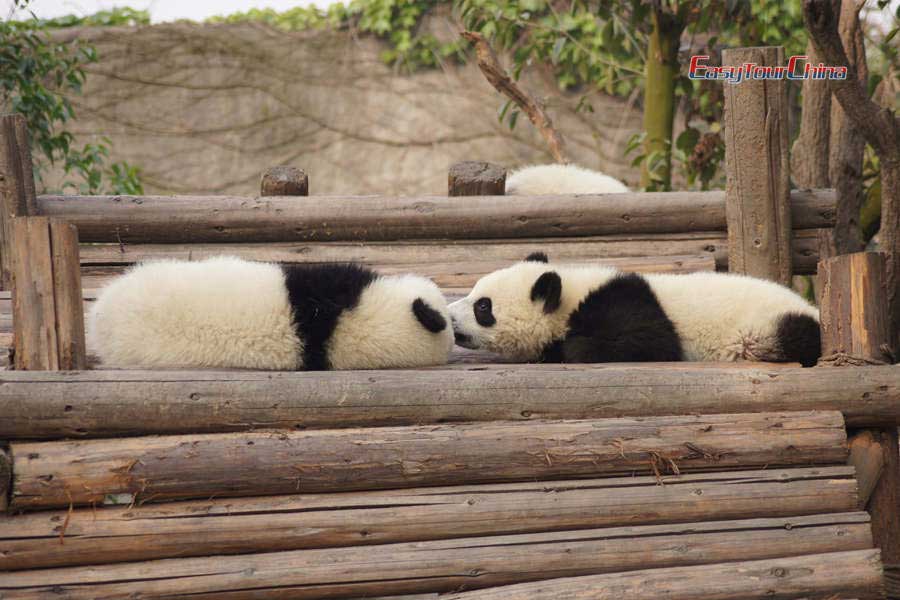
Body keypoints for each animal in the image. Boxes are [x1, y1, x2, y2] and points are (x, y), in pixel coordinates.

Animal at [450, 252, 824, 366]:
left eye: (483, 306)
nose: (450, 317)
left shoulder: (625, 305)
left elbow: (650, 341)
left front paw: (567, 348)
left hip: (768, 326)